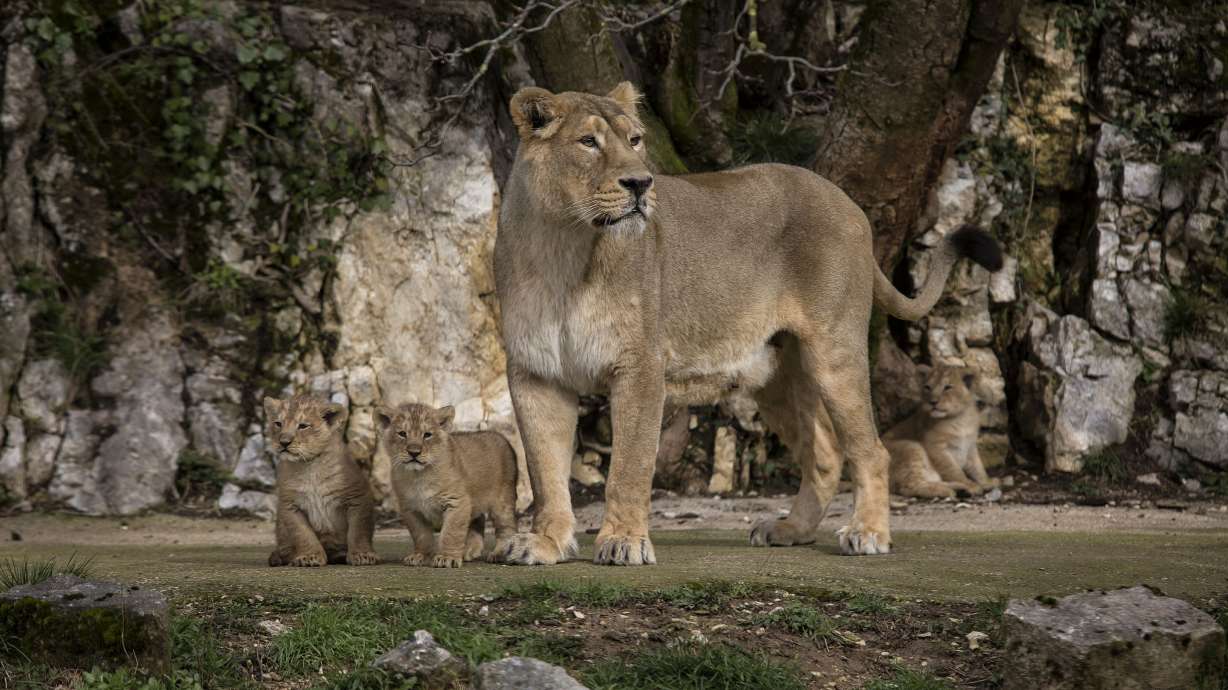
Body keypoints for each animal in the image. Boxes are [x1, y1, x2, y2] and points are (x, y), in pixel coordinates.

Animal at [264, 393, 378, 567]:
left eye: (303, 426)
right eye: (278, 423)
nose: (284, 442)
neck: (309, 465)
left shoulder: (358, 497)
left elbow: (358, 530)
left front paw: (362, 555)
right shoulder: (289, 504)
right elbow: (302, 533)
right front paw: (310, 557)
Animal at [376, 402, 518, 568]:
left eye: (427, 435)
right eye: (402, 434)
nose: (414, 453)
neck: (418, 476)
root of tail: (500, 436)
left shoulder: (457, 502)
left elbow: (451, 532)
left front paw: (447, 558)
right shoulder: (410, 509)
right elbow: (421, 535)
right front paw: (420, 556)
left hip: (503, 500)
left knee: (506, 527)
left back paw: (500, 553)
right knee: (478, 520)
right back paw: (469, 550)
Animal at [884, 364, 999, 499]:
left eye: (947, 387)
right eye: (927, 387)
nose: (932, 402)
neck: (960, 419)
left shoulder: (970, 445)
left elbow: (978, 467)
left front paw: (987, 482)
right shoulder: (936, 447)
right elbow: (953, 470)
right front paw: (970, 484)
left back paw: (959, 488)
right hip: (910, 447)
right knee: (910, 486)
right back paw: (951, 490)